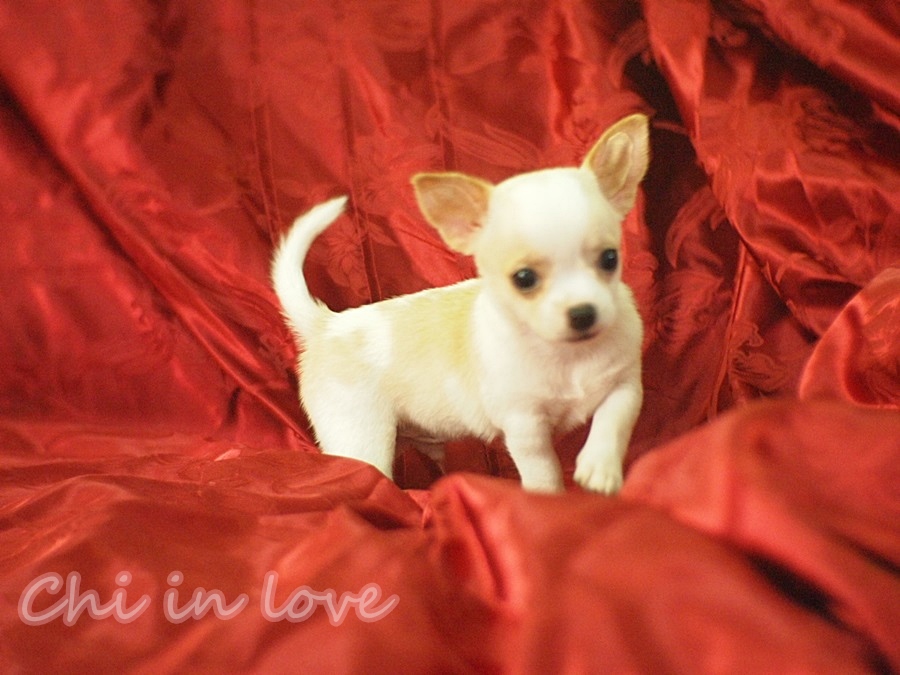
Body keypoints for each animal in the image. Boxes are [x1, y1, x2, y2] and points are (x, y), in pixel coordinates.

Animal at [272, 113, 648, 493]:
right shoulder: (525, 428)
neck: (568, 357)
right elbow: (544, 473)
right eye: (524, 279)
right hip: (359, 433)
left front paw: (600, 468)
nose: (583, 313)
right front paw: (550, 498)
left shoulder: (625, 385)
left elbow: (612, 420)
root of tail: (325, 325)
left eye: (610, 259)